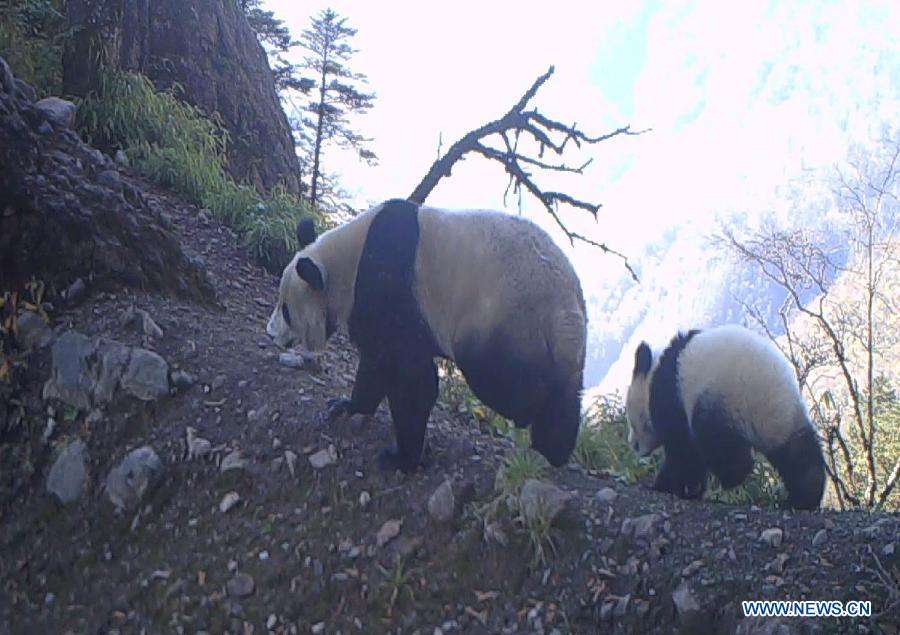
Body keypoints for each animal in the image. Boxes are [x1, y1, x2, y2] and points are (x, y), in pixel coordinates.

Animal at [266, 199, 592, 472]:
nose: (271, 334)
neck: (344, 263)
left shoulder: (388, 284)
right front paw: (347, 406)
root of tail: (567, 306)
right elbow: (376, 365)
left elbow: (407, 375)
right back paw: (553, 450)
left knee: (507, 383)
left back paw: (533, 416)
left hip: (504, 317)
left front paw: (402, 458)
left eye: (286, 310)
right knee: (567, 393)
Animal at [624, 326, 824, 510]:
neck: (652, 375)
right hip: (790, 418)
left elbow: (683, 449)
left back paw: (729, 479)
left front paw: (679, 488)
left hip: (724, 400)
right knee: (800, 455)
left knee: (720, 444)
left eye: (632, 423)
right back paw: (803, 499)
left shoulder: (671, 396)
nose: (633, 445)